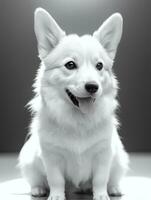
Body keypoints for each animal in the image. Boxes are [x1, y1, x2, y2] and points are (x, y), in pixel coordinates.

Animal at [18, 7, 129, 200]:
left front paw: (101, 195)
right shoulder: (52, 157)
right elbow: (56, 180)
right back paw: (38, 189)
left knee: (112, 177)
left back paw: (113, 188)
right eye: (70, 65)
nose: (92, 86)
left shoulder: (103, 155)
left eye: (99, 66)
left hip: (119, 161)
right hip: (28, 161)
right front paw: (56, 195)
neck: (78, 120)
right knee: (37, 179)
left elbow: (100, 179)